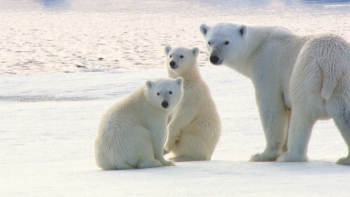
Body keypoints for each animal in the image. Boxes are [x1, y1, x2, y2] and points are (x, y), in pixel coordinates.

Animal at [200, 22, 350, 165]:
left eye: (226, 41)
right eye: (209, 42)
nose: (214, 57)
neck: (257, 46)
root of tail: (330, 65)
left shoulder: (267, 67)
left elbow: (272, 108)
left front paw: (262, 155)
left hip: (307, 73)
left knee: (302, 113)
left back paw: (290, 156)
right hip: (343, 82)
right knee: (344, 115)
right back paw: (345, 159)